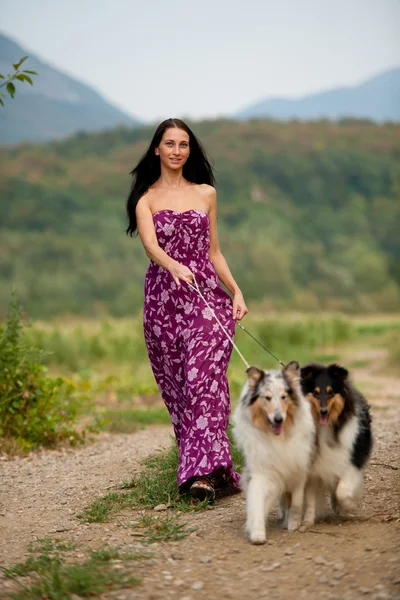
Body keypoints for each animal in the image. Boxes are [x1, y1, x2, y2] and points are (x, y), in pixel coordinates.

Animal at [231, 360, 316, 544]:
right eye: (267, 398)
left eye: (284, 397)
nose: (278, 419)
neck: (278, 437)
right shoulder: (262, 470)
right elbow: (257, 501)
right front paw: (257, 532)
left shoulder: (299, 467)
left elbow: (297, 500)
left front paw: (293, 523)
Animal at [302, 364, 374, 524]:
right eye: (315, 393)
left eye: (331, 392)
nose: (323, 411)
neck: (326, 427)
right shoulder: (313, 466)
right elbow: (310, 497)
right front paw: (307, 520)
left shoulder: (352, 457)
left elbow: (342, 490)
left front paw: (348, 505)